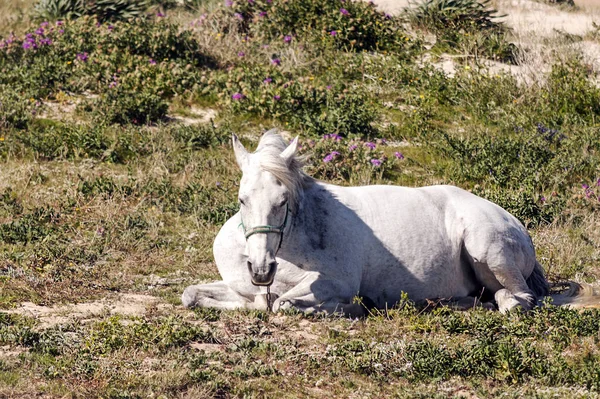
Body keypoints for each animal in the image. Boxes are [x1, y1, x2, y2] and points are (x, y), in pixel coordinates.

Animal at [183, 130, 600, 316]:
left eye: (282, 201)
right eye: (242, 200)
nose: (260, 270)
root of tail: (513, 220)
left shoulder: (337, 282)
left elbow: (283, 303)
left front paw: (348, 308)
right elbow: (194, 294)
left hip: (488, 251)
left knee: (517, 299)